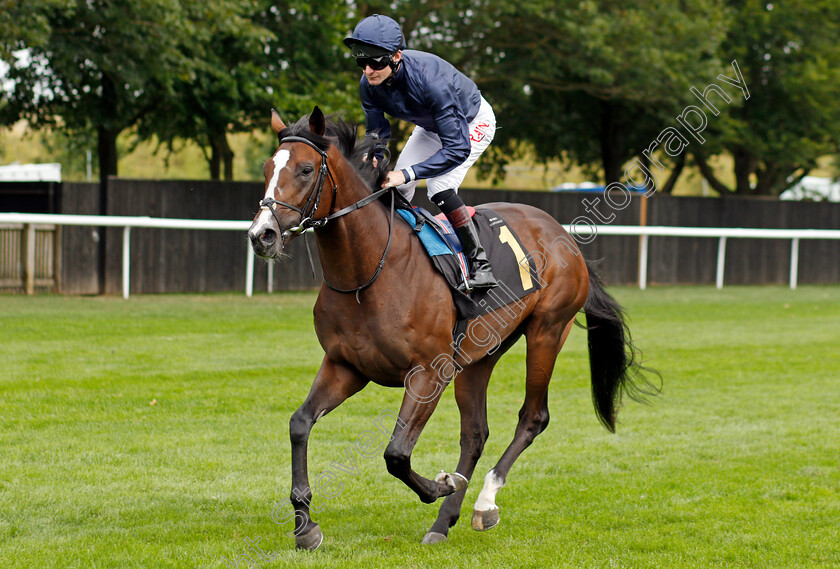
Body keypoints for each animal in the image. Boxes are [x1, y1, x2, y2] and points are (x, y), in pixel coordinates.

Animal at [246, 105, 652, 544]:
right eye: (268, 167)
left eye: (305, 169)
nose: (261, 235)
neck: (369, 273)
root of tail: (563, 234)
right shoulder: (346, 366)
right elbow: (300, 423)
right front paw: (305, 524)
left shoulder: (428, 372)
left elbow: (396, 453)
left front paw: (441, 485)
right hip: (481, 354)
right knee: (475, 434)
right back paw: (443, 522)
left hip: (547, 330)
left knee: (532, 418)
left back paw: (483, 502)